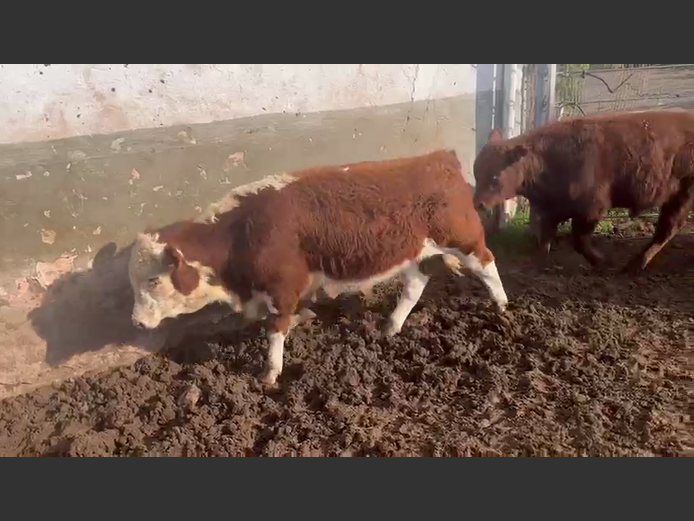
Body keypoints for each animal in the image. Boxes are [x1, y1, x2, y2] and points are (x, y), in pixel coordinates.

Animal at [129, 148, 512, 384]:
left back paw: (502, 305)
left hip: (463, 238)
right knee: (414, 285)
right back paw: (391, 327)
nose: (136, 322)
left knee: (487, 263)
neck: (242, 232)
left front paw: (270, 372)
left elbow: (275, 328)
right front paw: (306, 318)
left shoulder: (282, 286)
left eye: (153, 280)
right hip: (415, 253)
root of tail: (438, 158)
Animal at [476, 111, 694, 270]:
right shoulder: (552, 209)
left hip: (683, 195)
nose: (478, 203)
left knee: (668, 228)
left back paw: (634, 265)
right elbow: (545, 238)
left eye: (494, 177)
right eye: (477, 173)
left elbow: (579, 240)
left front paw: (603, 261)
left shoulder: (591, 208)